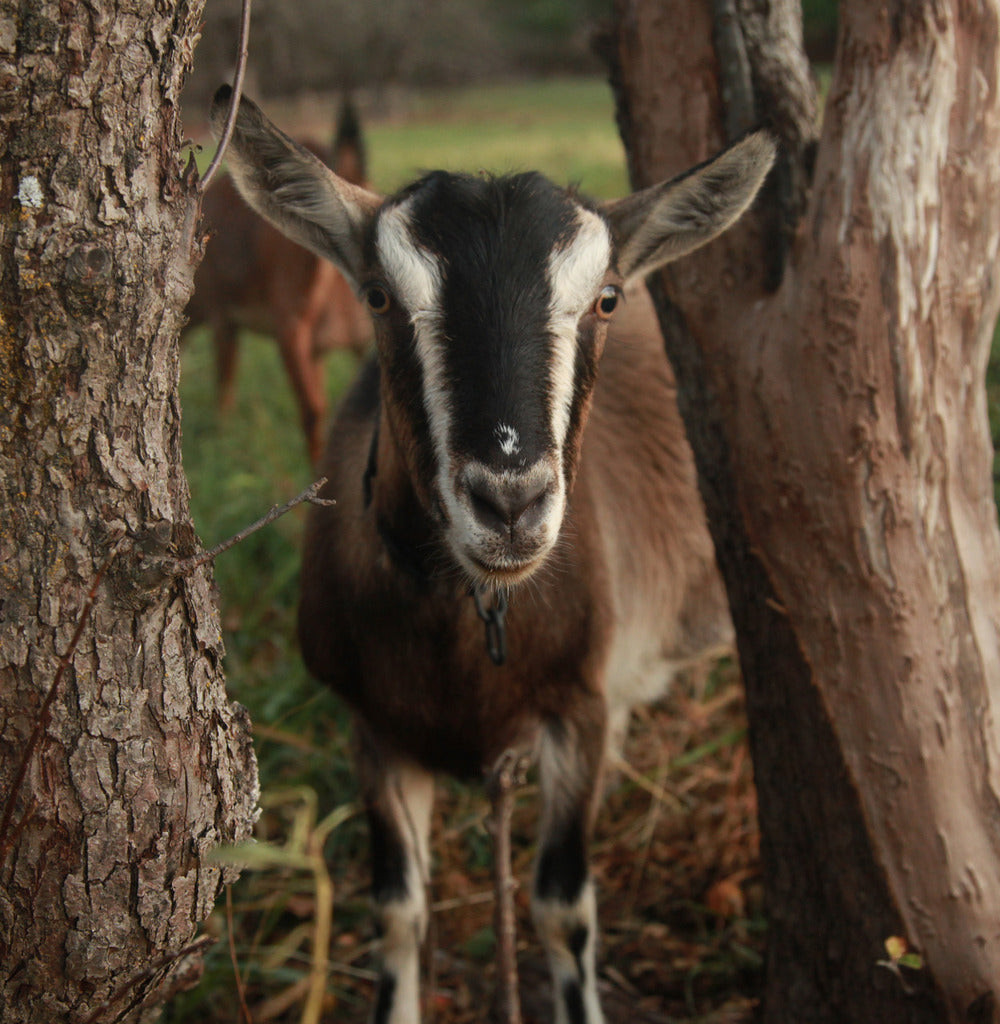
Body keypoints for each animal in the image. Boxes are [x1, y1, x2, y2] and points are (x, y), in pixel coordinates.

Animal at [208, 86, 773, 1024]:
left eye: (607, 298)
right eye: (377, 295)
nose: (509, 501)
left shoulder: (578, 711)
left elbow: (561, 909)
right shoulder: (374, 729)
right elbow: (397, 913)